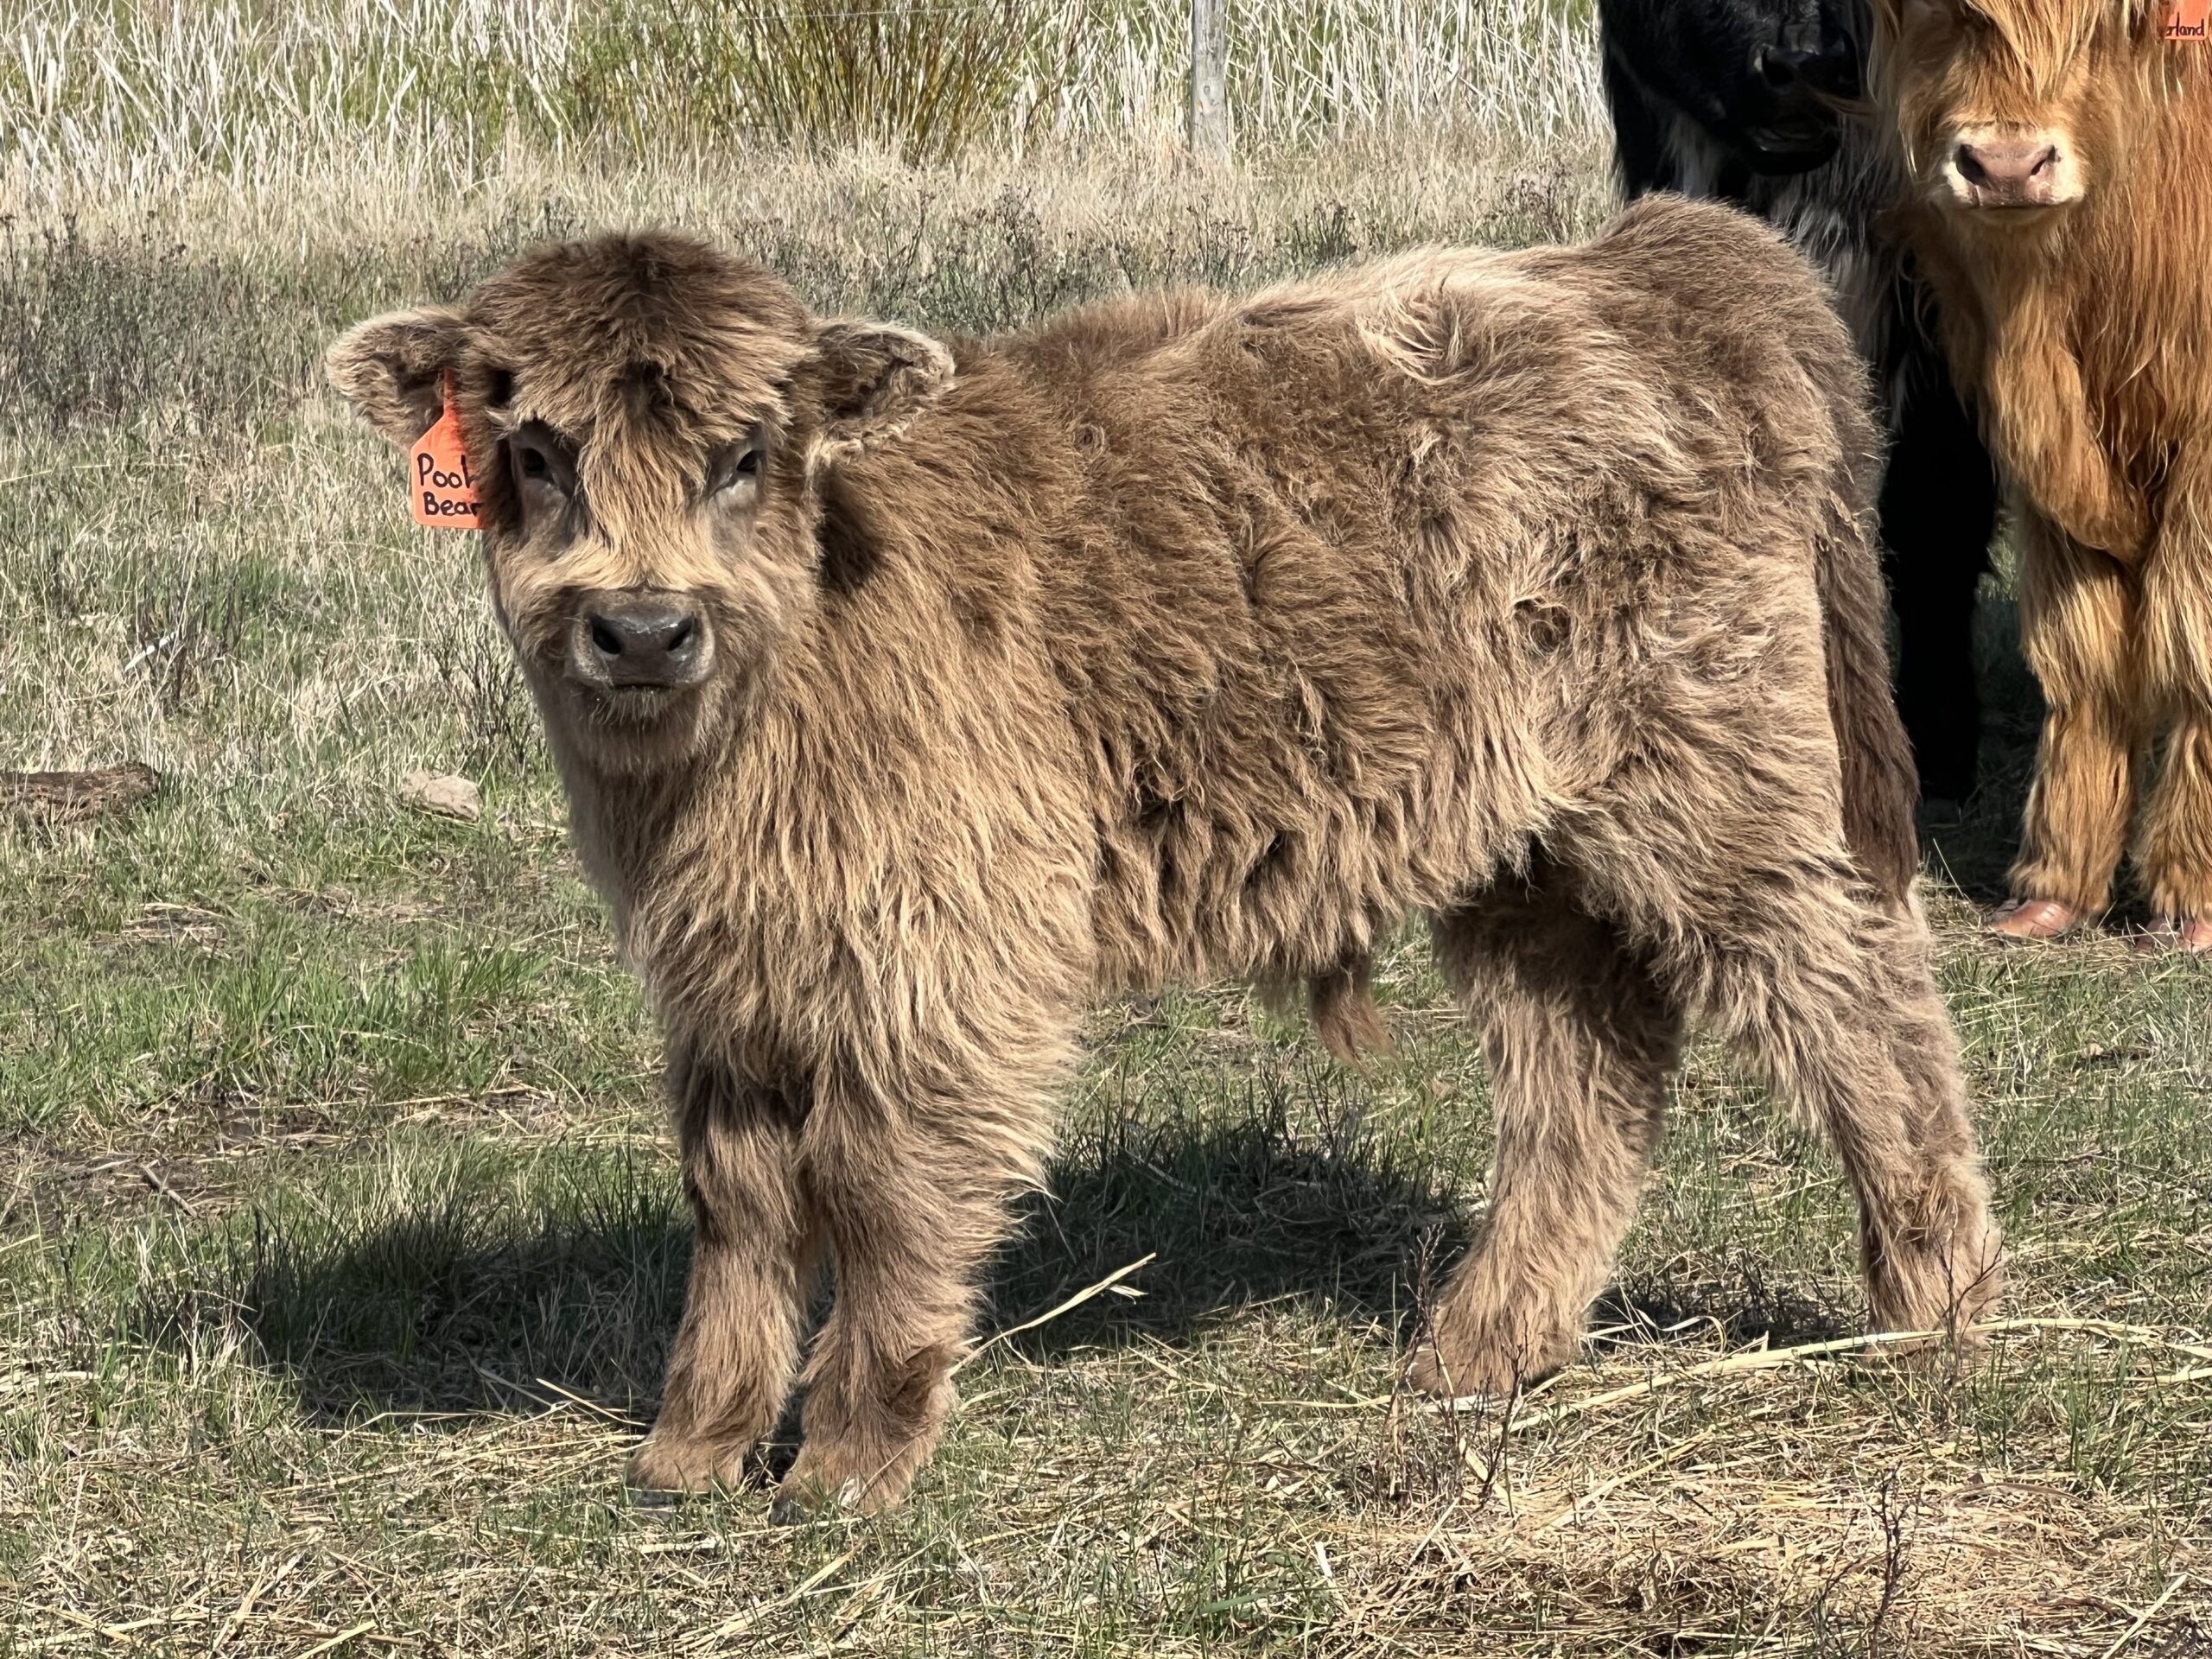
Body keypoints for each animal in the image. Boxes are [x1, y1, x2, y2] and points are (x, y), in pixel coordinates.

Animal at [326, 199, 2001, 1518]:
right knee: (1586, 1065)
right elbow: (735, 1197)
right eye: (535, 454)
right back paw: (1481, 1351)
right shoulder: (726, 971)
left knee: (1860, 997)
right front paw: (695, 1445)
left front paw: (852, 1458)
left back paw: (1938, 1303)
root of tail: (1646, 258)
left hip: (1723, 773)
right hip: (1522, 842)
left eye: (746, 456)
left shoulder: (944, 954)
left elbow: (879, 1186)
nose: (641, 627)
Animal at [1867, 0, 2212, 950]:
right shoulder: (2047, 469)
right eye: (1944, 21)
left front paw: (2193, 900)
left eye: (2103, 27)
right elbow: (2081, 652)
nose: (2004, 166)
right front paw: (2054, 888)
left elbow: (2194, 638)